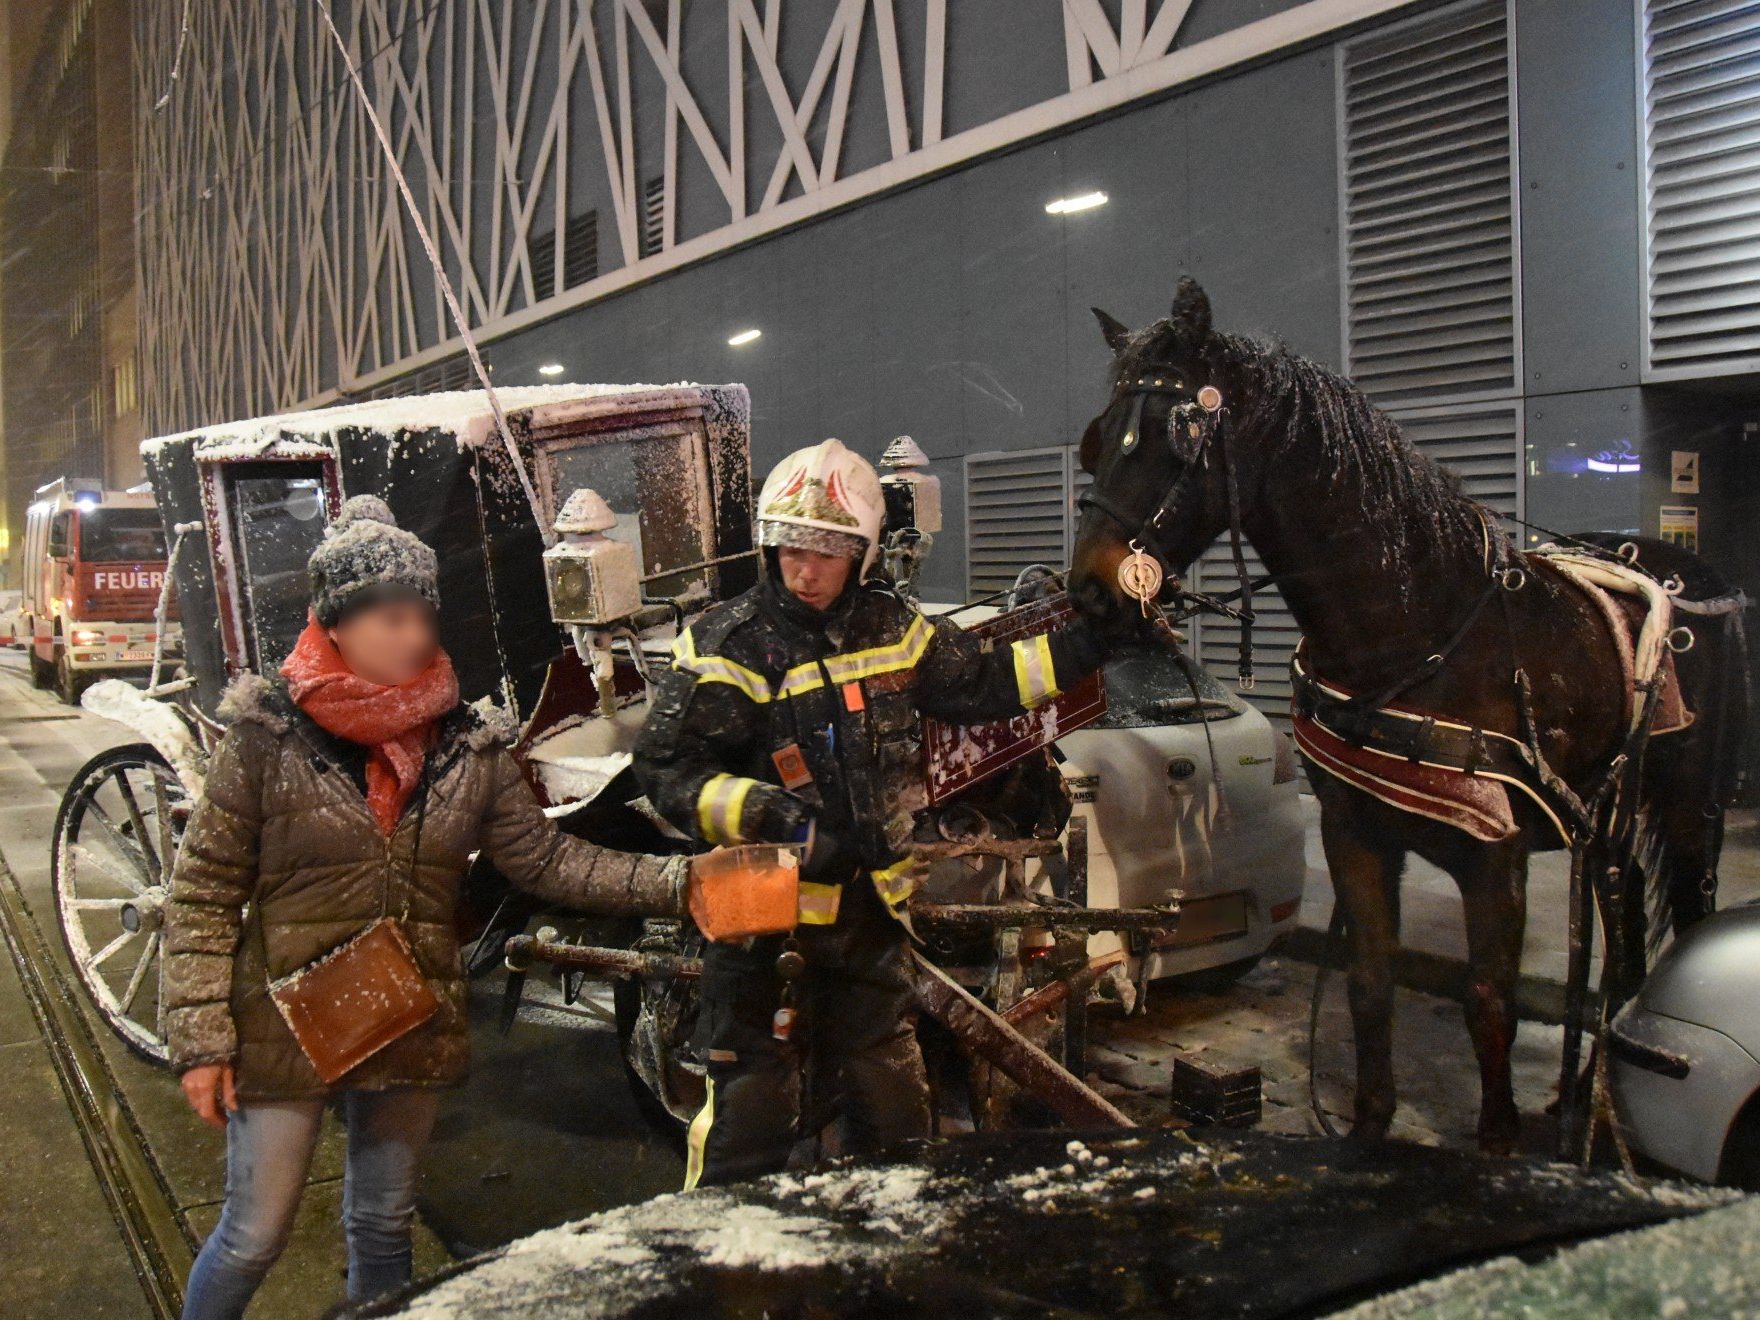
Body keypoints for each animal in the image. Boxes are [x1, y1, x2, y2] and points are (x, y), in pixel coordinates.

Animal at [1070, 279, 1745, 1154]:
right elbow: (1369, 983)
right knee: (1624, 935)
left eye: (1173, 435)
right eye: (1097, 443)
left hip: (1690, 807)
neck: (1416, 632)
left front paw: (1496, 1141)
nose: (1088, 591)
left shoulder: (1495, 857)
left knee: (1683, 913)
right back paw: (1580, 1101)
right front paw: (1368, 1128)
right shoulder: (1355, 835)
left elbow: (1488, 1005)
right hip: (1610, 821)